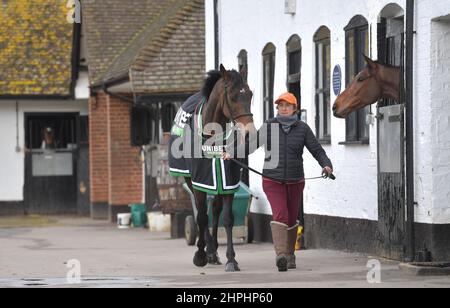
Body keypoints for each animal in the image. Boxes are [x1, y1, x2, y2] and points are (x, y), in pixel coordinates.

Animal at [185, 65, 255, 272]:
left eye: (250, 94)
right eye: (232, 96)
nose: (249, 134)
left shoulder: (228, 181)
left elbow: (227, 218)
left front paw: (231, 259)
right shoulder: (199, 182)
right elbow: (201, 217)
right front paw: (200, 255)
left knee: (215, 211)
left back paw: (213, 250)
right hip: (190, 180)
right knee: (202, 214)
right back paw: (207, 249)